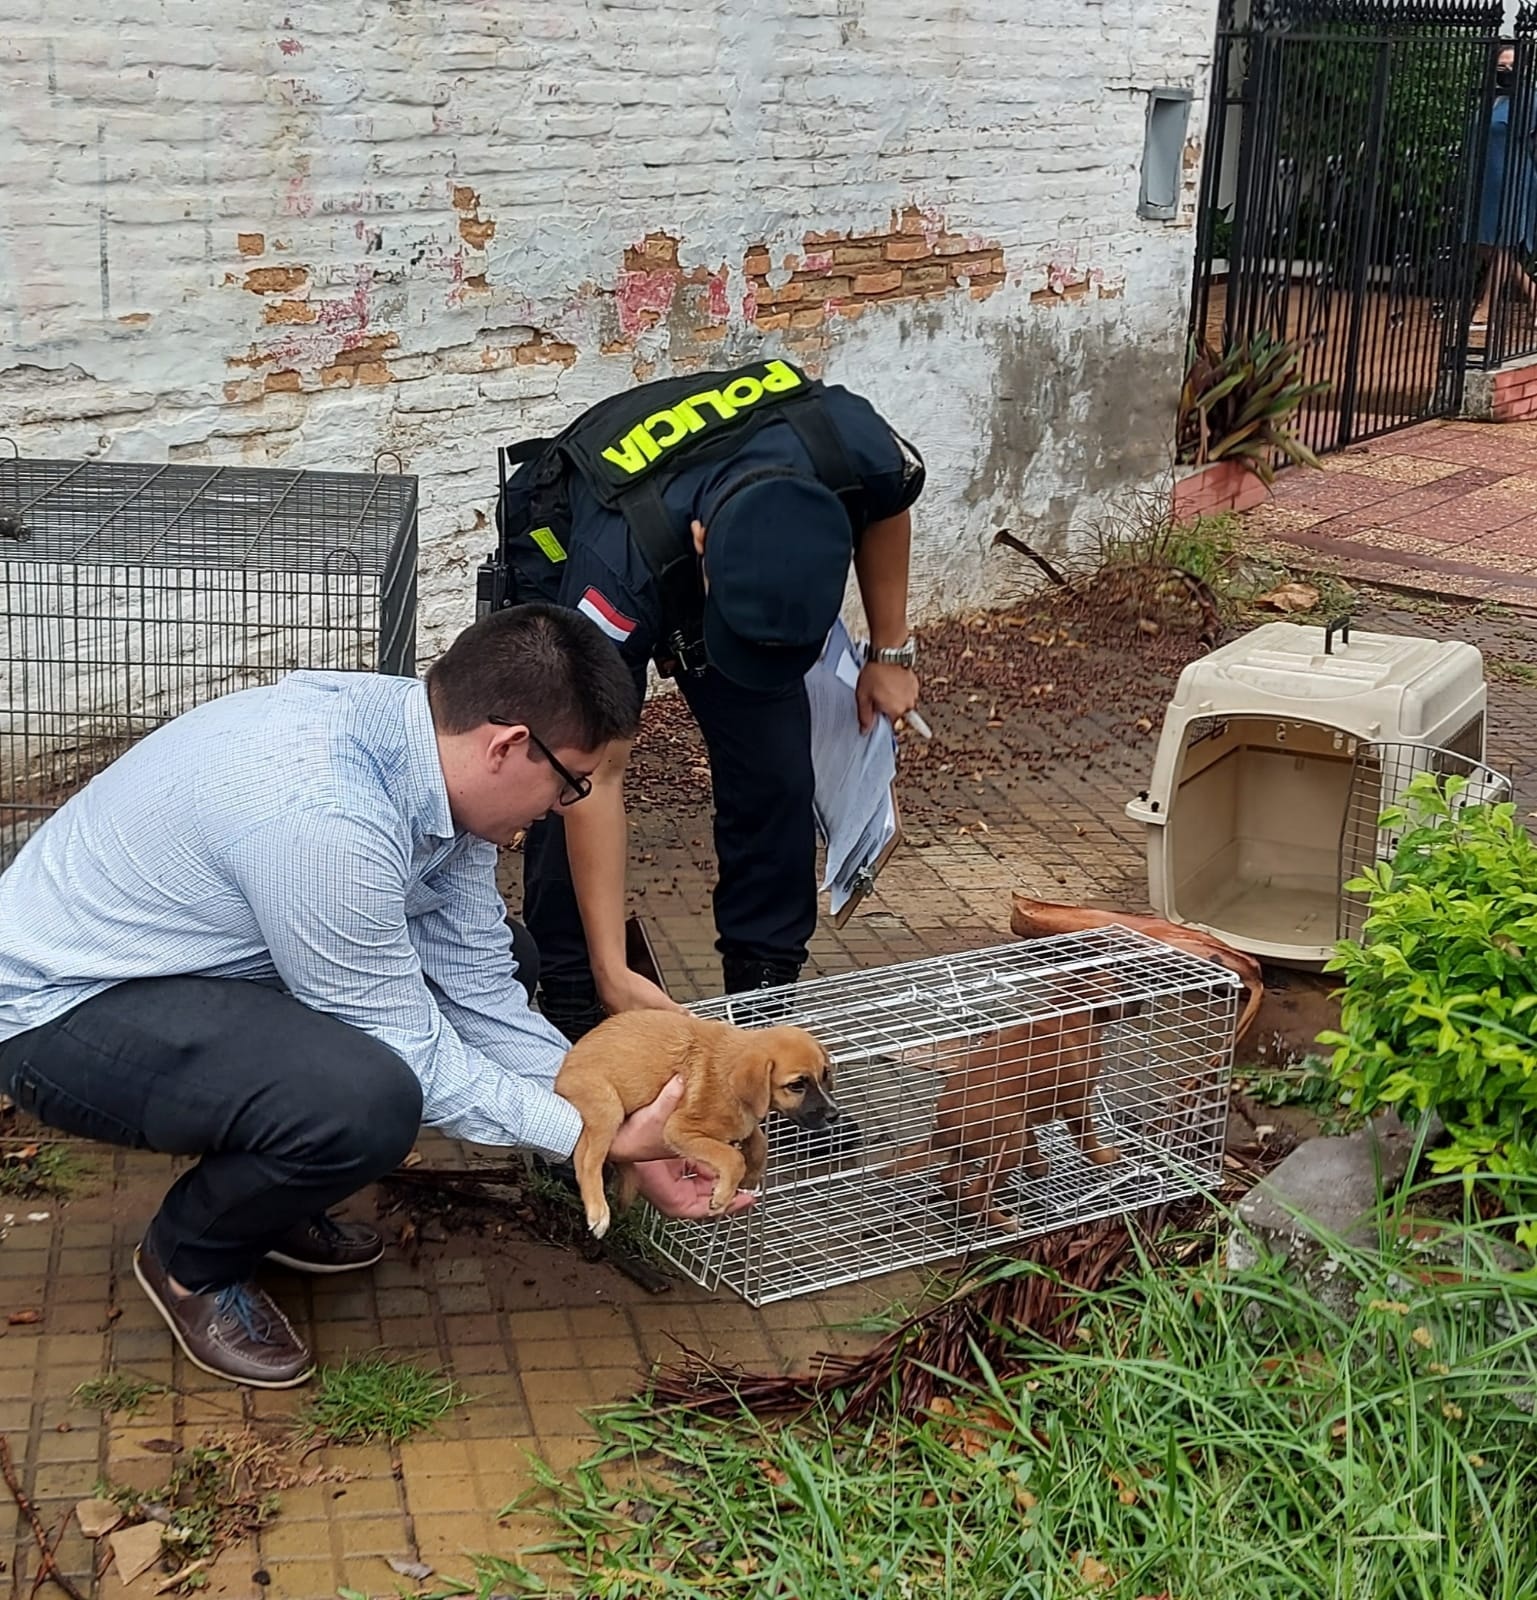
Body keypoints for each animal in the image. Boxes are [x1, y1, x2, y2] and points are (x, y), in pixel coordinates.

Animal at [553, 1011, 838, 1235]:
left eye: (825, 1074)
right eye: (797, 1085)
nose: (834, 1115)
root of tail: (561, 1074)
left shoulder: (743, 1123)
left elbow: (759, 1141)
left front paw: (750, 1177)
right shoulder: (679, 1130)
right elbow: (733, 1157)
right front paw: (722, 1195)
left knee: (579, 1151)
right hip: (608, 1104)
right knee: (588, 1161)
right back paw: (598, 1211)